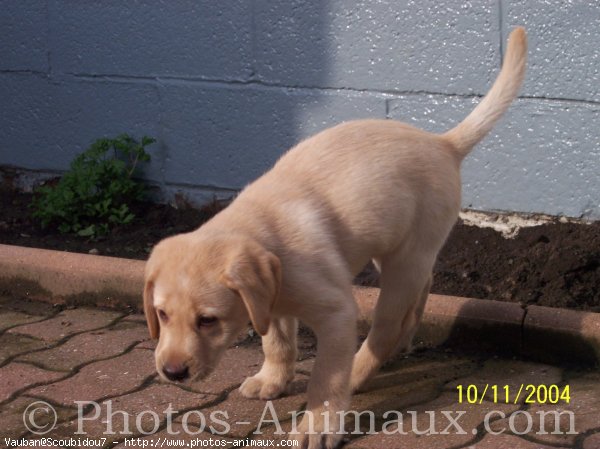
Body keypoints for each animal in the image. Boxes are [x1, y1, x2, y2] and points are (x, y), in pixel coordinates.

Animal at [144, 28, 524, 448]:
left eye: (208, 320)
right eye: (162, 314)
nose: (172, 373)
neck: (262, 229)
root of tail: (443, 142)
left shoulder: (336, 311)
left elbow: (326, 377)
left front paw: (318, 425)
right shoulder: (271, 303)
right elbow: (277, 341)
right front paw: (272, 379)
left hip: (404, 261)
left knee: (385, 327)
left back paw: (361, 370)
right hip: (397, 248)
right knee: (421, 290)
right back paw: (405, 341)